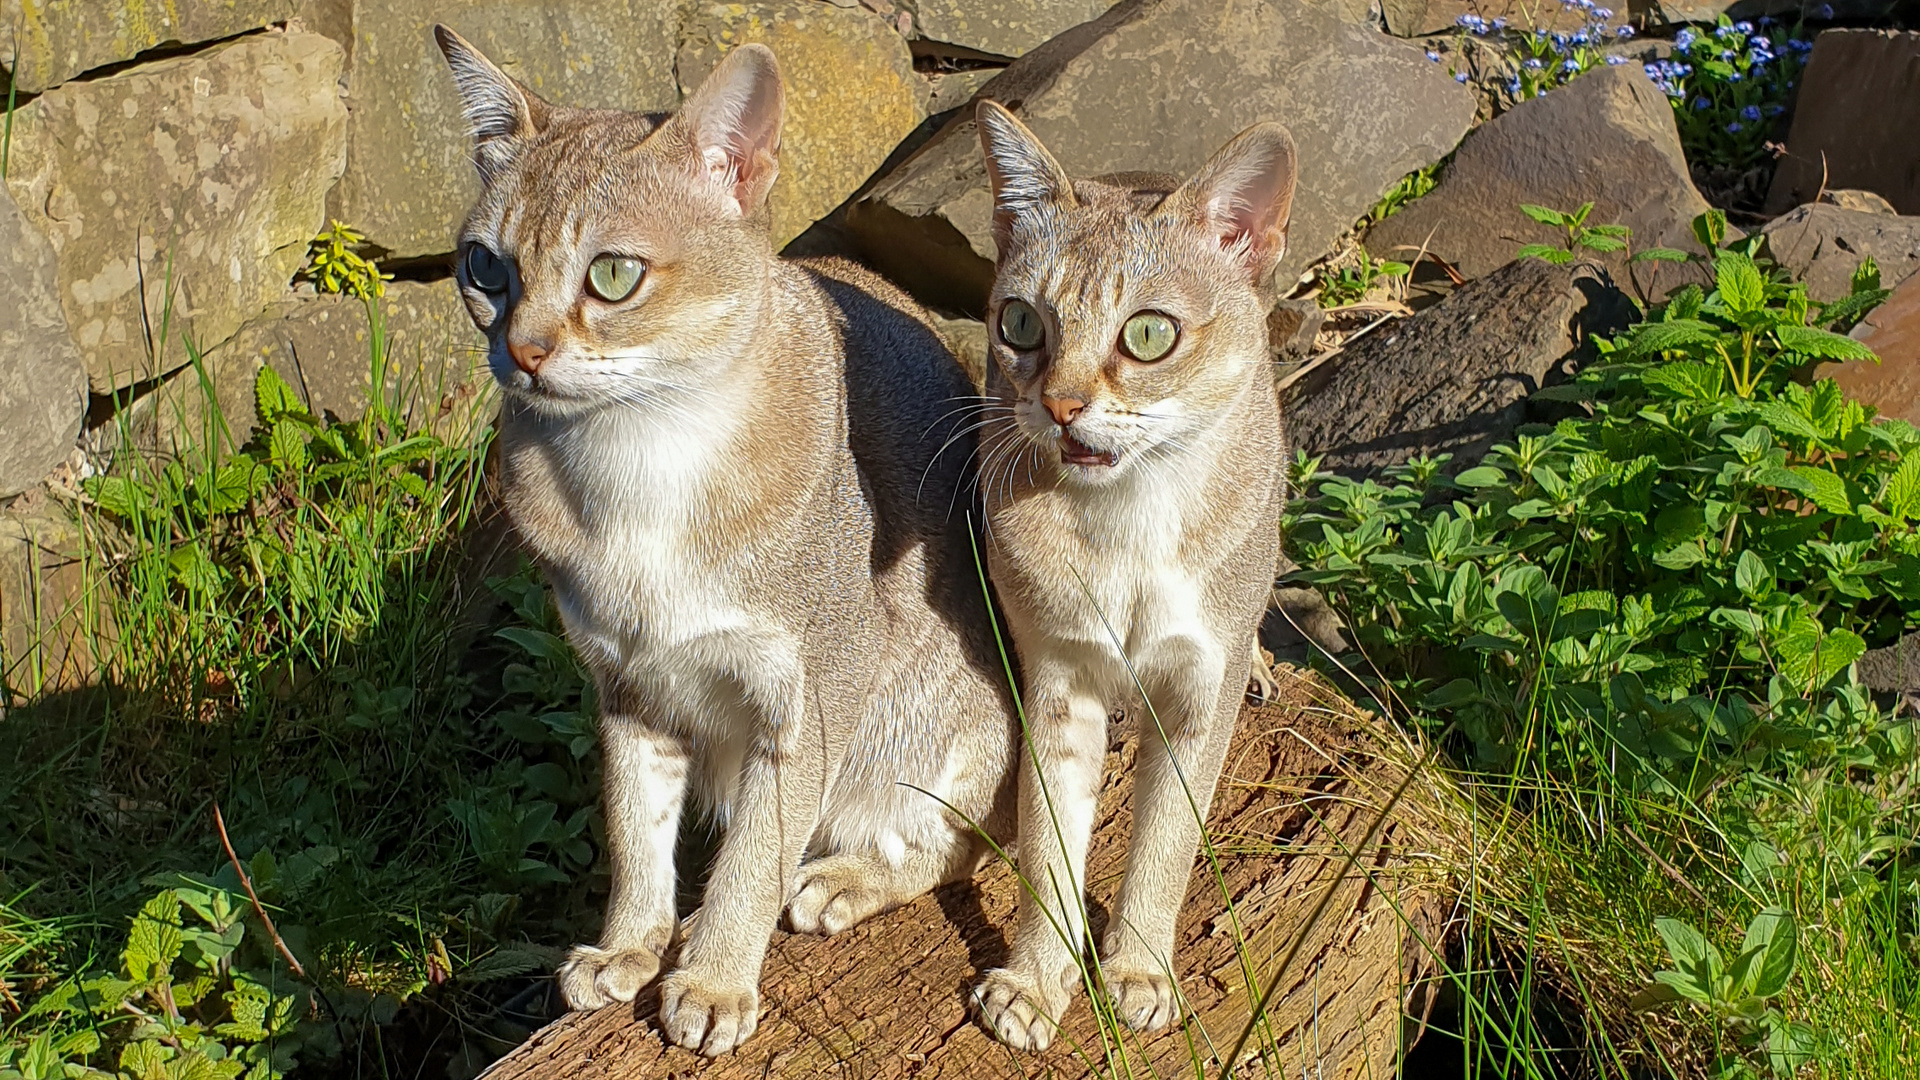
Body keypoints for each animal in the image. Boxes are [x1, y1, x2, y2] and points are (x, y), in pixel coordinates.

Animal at [428, 25, 1013, 1053]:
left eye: (612, 275)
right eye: (486, 270)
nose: (522, 352)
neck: (639, 464)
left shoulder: (813, 688)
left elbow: (757, 849)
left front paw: (714, 979)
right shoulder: (628, 685)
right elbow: (635, 829)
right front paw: (631, 943)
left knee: (961, 846)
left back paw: (839, 881)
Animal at [967, 98, 1297, 1045]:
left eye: (1150, 334)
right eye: (1020, 324)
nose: (1060, 405)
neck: (1129, 523)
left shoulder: (1196, 699)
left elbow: (1165, 846)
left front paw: (1141, 970)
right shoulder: (1057, 682)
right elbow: (1049, 847)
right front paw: (1035, 980)